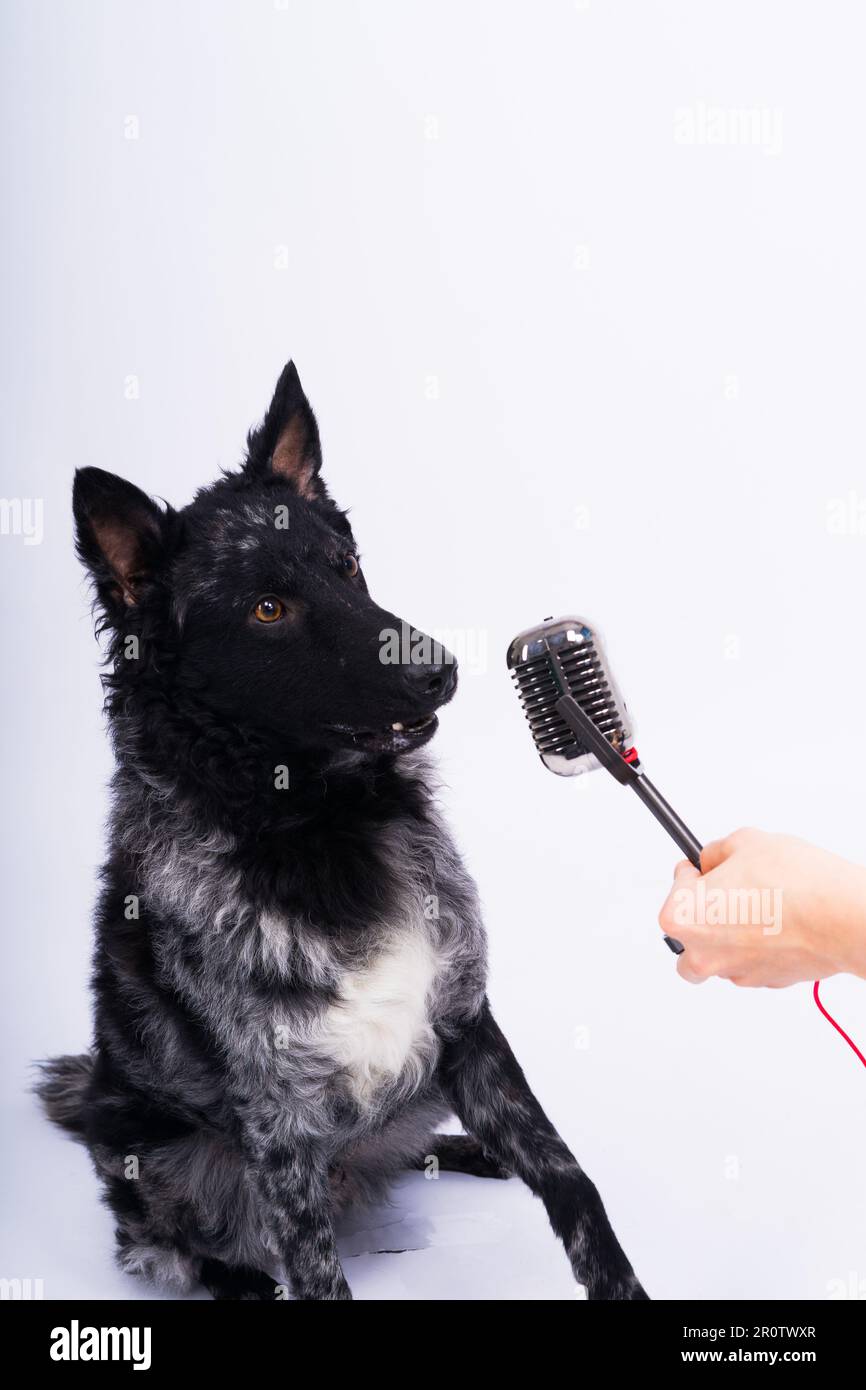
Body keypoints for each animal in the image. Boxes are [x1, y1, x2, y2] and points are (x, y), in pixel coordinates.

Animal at [38, 361, 650, 1301]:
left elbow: (568, 1175)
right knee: (164, 1243)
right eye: (266, 609)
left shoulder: (465, 1022)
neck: (316, 822)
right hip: (155, 1155)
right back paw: (237, 1280)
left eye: (348, 565)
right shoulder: (279, 1119)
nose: (442, 670)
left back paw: (467, 1151)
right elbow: (314, 1268)